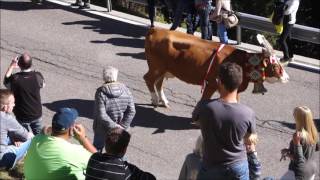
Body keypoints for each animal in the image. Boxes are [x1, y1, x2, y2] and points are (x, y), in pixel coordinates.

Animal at [144, 27, 288, 107]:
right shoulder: (211, 83)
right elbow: (205, 99)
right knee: (148, 79)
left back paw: (164, 101)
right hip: (156, 67)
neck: (242, 61)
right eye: (275, 65)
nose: (287, 78)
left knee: (158, 83)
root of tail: (156, 29)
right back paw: (155, 100)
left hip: (164, 69)